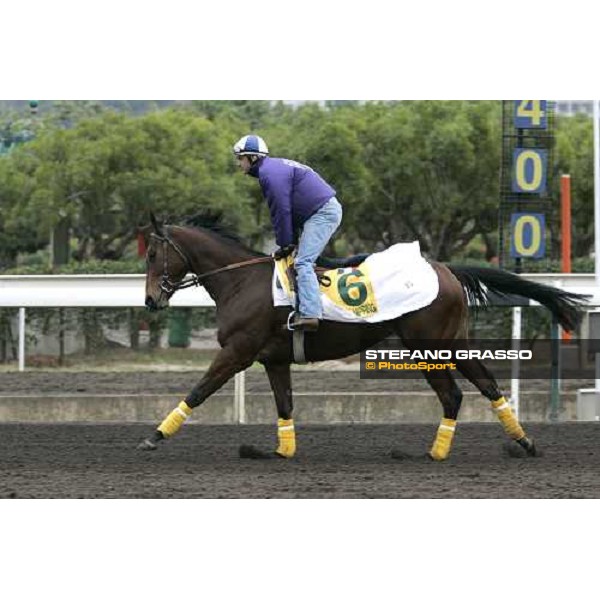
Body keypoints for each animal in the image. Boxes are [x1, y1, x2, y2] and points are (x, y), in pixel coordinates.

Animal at [138, 213, 588, 462]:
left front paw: (154, 437)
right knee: (480, 387)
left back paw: (438, 452)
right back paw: (520, 442)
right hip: (448, 342)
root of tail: (446, 269)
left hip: (427, 344)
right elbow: (285, 404)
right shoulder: (274, 359)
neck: (241, 281)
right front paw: (282, 450)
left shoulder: (237, 351)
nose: (149, 300)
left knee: (456, 393)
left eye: (152, 254)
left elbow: (198, 391)